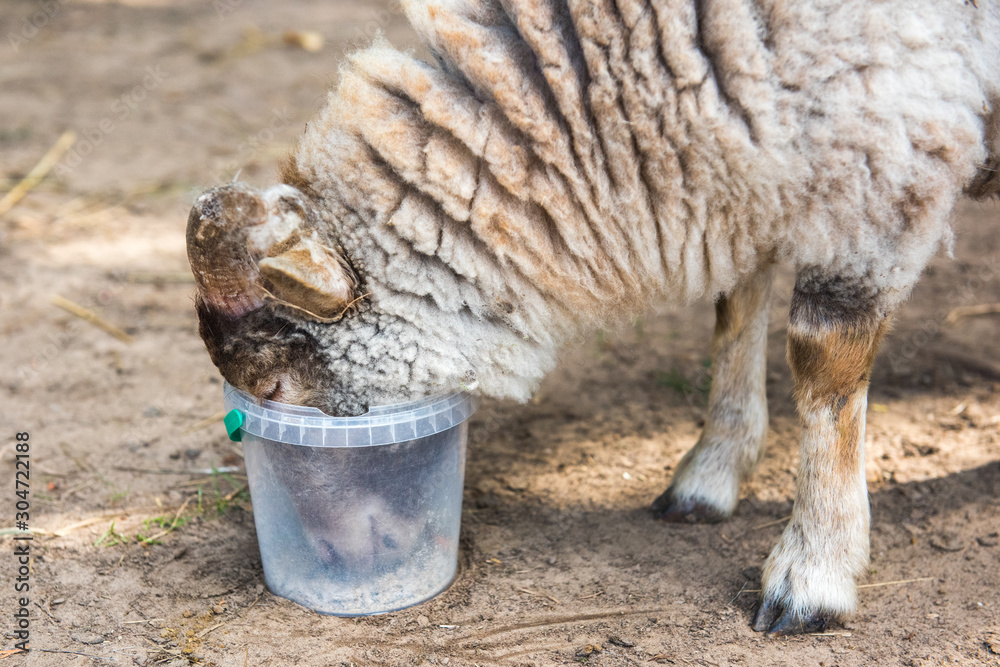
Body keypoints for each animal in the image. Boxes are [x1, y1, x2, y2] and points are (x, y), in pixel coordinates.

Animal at [186, 0, 1000, 636]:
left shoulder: (882, 152)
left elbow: (824, 360)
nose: (328, 558)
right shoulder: (763, 154)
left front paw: (812, 577)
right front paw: (709, 474)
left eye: (278, 392)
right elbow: (736, 305)